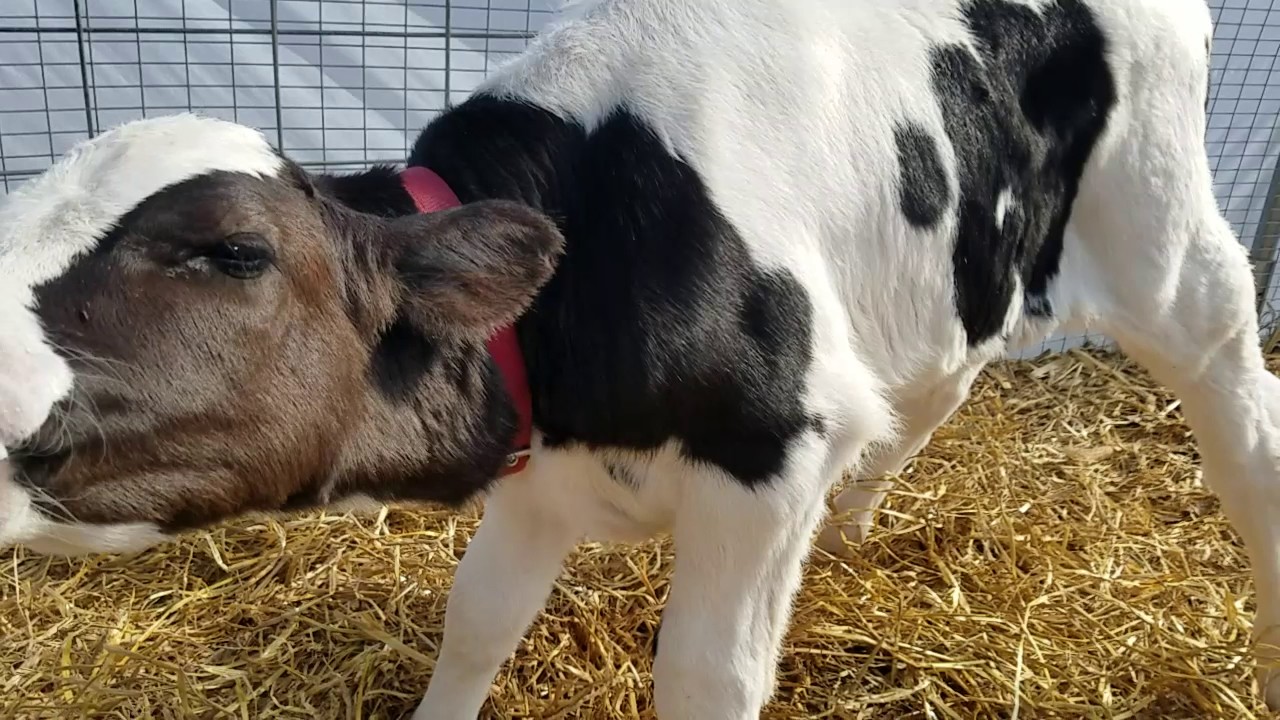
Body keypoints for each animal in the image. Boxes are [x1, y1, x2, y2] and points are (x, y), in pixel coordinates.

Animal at [2, 0, 1276, 717]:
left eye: (231, 250)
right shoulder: (536, 471)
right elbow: (478, 621)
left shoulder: (765, 463)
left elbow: (706, 682)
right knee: (941, 379)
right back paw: (854, 527)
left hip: (1163, 235)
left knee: (1236, 395)